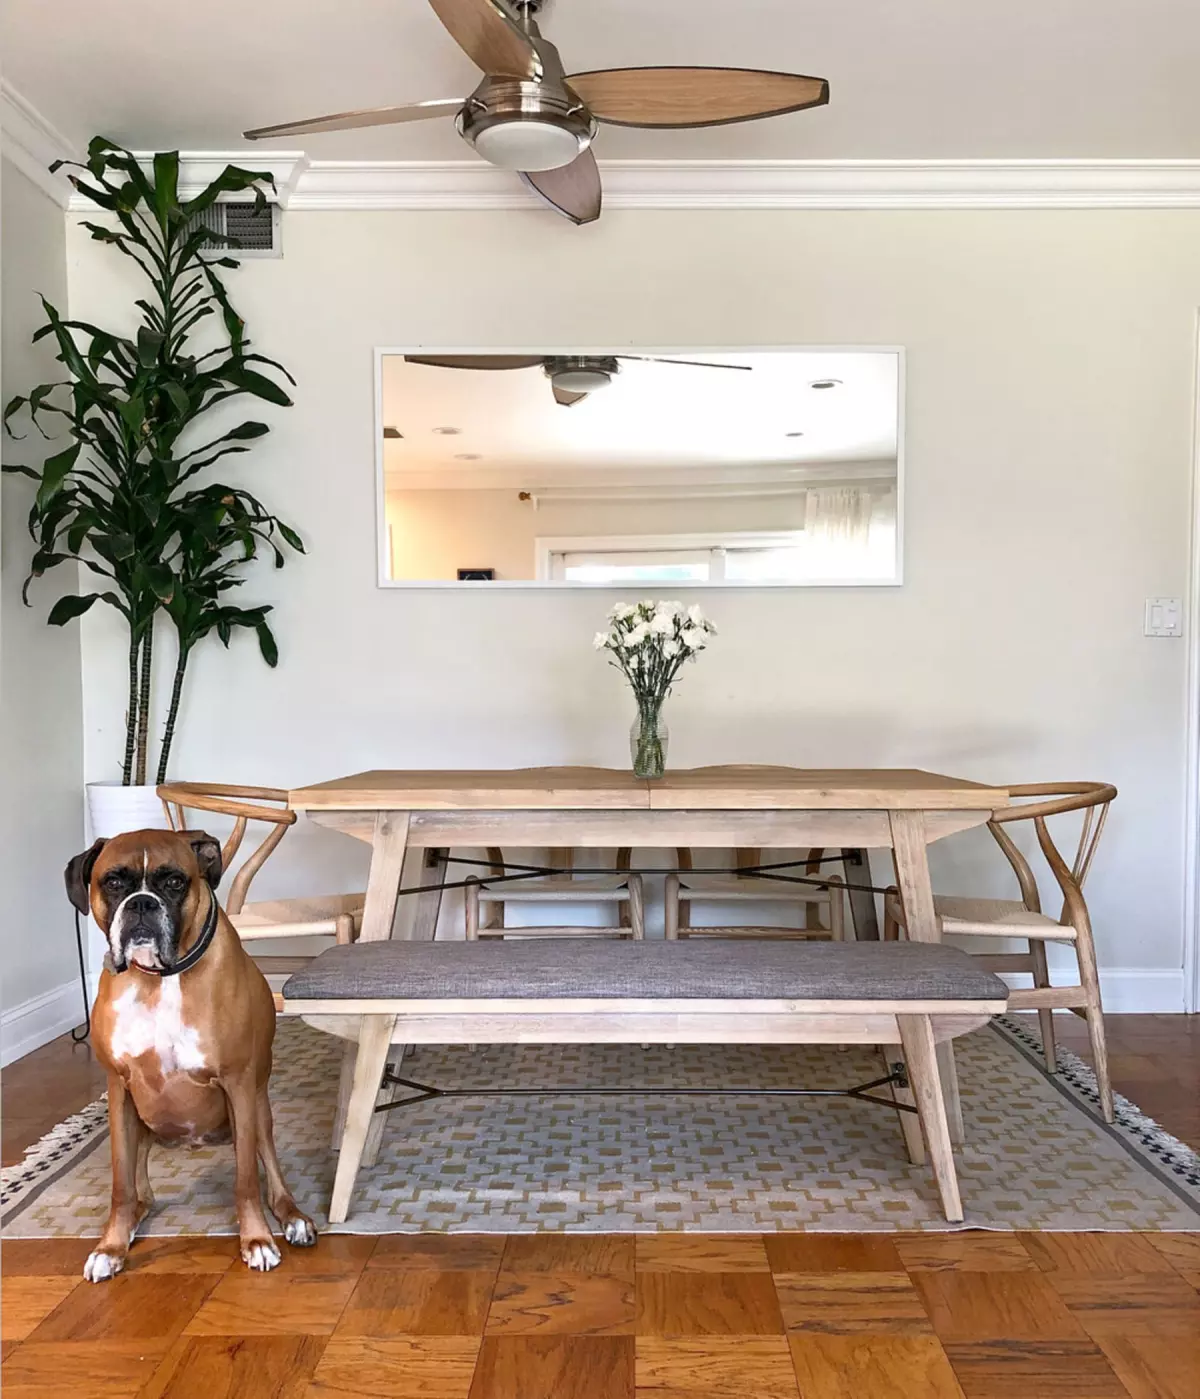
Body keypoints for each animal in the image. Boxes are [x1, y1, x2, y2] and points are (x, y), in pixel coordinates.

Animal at [65, 828, 313, 1281]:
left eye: (175, 881)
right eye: (114, 882)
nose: (142, 903)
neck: (159, 979)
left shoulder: (237, 1084)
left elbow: (246, 1180)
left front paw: (256, 1240)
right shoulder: (119, 1091)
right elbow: (120, 1186)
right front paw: (110, 1247)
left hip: (259, 1110)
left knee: (271, 1175)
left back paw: (293, 1219)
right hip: (140, 1124)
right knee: (140, 1194)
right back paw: (130, 1225)